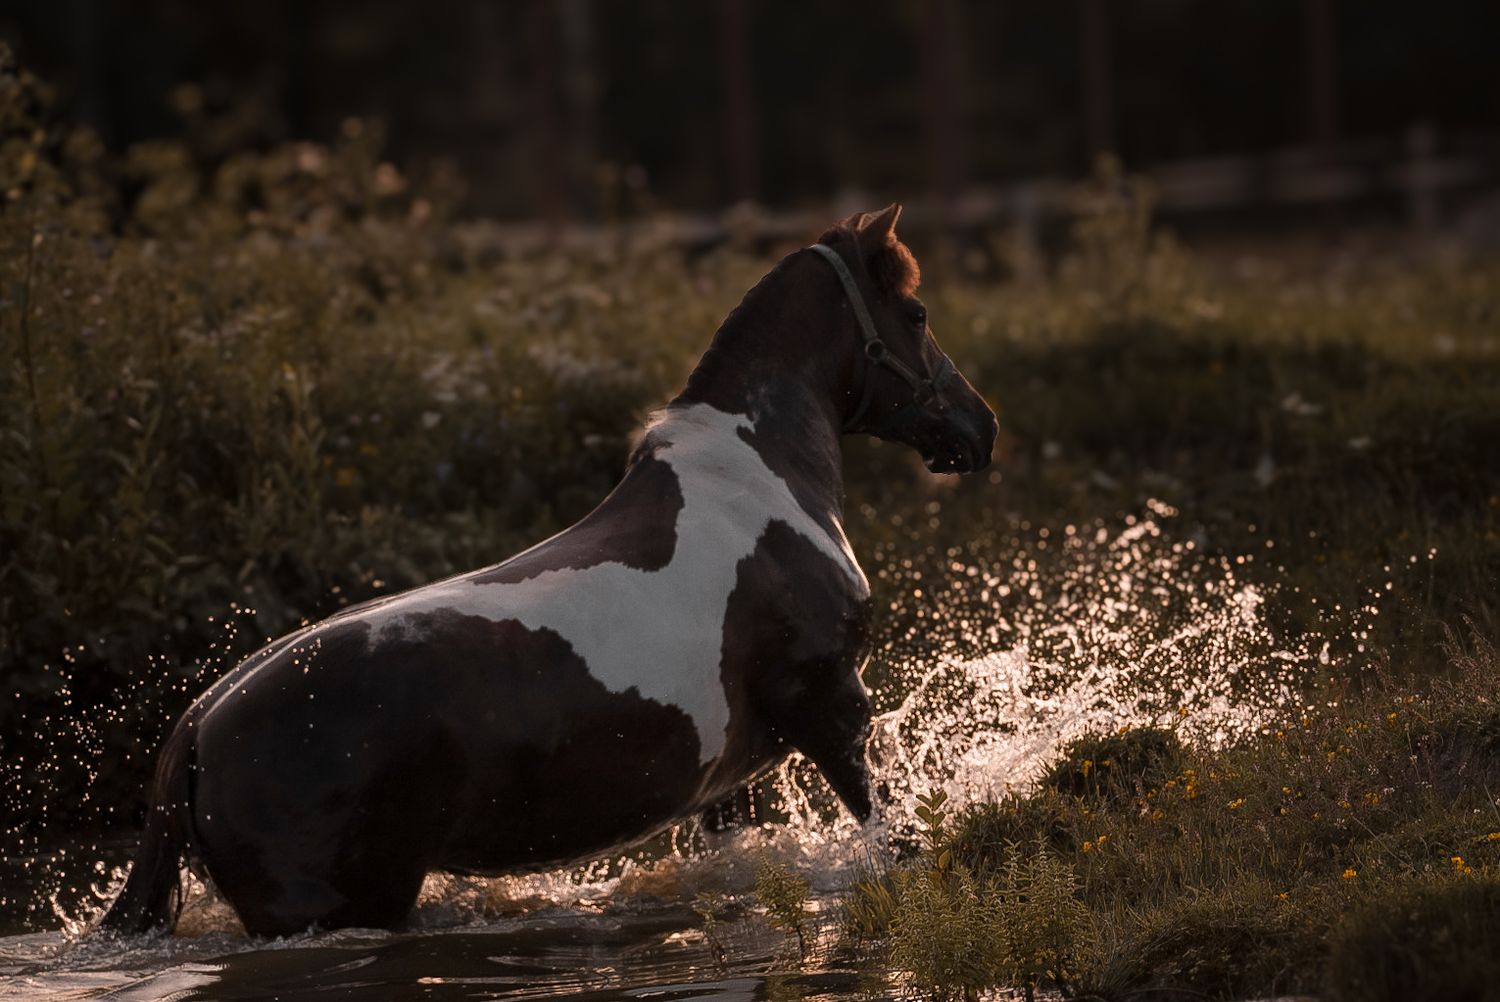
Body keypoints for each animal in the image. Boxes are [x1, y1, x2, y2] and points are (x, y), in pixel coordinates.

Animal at [98, 204, 998, 936]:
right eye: (916, 312)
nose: (981, 427)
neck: (757, 471)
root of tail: (195, 729)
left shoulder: (728, 782)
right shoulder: (832, 707)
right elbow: (895, 837)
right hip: (335, 907)